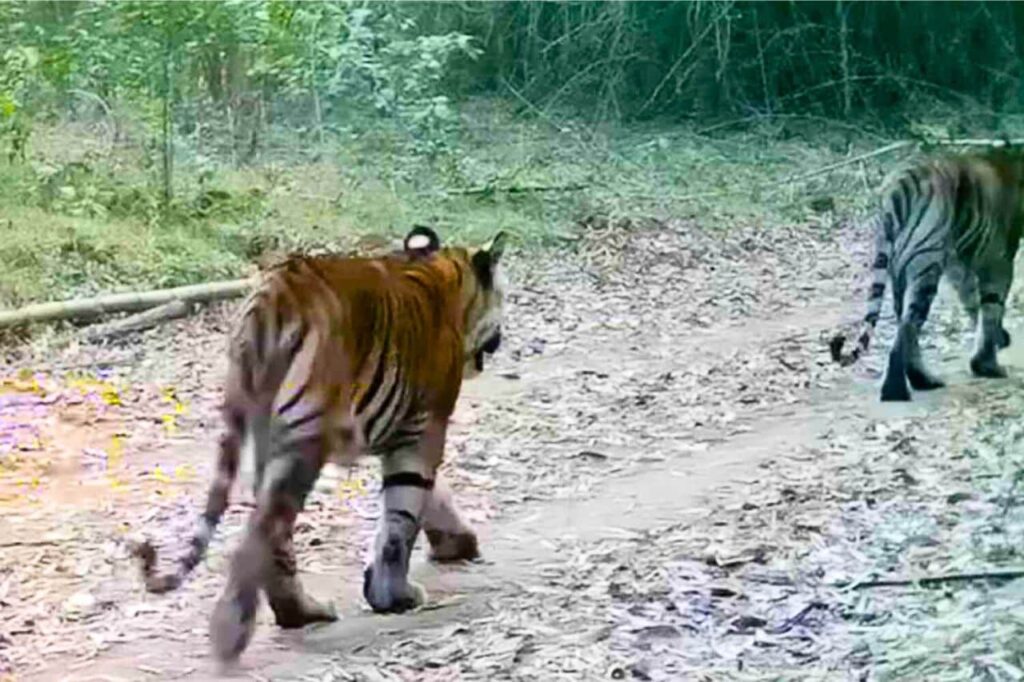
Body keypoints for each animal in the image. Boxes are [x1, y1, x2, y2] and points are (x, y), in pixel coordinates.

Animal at [132, 224, 509, 663]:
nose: (500, 338)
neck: (445, 276)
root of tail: (275, 290)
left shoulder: (399, 431)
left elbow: (430, 495)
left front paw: (454, 543)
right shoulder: (425, 427)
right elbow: (403, 515)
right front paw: (394, 595)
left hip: (266, 432)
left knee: (272, 530)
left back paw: (301, 611)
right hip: (306, 433)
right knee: (264, 530)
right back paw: (236, 630)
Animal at [830, 147, 1024, 401]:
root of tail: (900, 181)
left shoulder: (958, 265)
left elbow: (974, 303)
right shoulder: (998, 260)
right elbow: (991, 309)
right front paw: (988, 365)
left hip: (900, 268)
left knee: (904, 323)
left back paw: (921, 381)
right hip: (925, 266)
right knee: (908, 326)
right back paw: (898, 390)